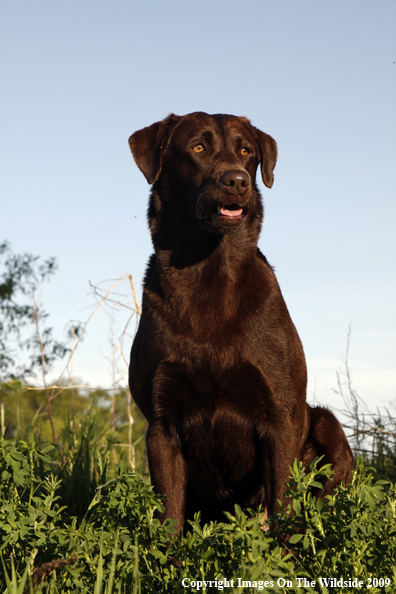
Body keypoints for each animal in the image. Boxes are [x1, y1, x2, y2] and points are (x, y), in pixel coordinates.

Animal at [127, 111, 352, 532]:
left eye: (247, 151)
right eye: (198, 147)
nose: (236, 180)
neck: (207, 271)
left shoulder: (281, 417)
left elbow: (283, 507)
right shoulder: (161, 425)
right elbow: (170, 515)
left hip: (327, 425)